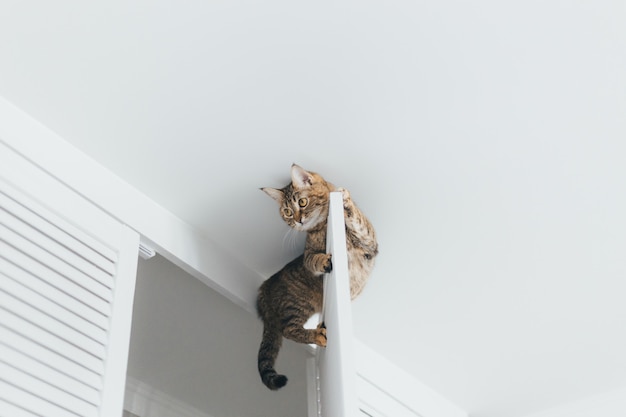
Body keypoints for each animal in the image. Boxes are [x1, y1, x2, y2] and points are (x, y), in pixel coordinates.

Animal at [255, 163, 376, 390]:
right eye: (287, 212)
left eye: (302, 202)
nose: (298, 220)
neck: (322, 226)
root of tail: (263, 290)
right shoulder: (307, 255)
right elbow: (311, 260)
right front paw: (322, 261)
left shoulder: (370, 242)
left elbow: (359, 222)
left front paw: (346, 200)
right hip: (296, 306)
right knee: (289, 330)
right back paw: (317, 334)